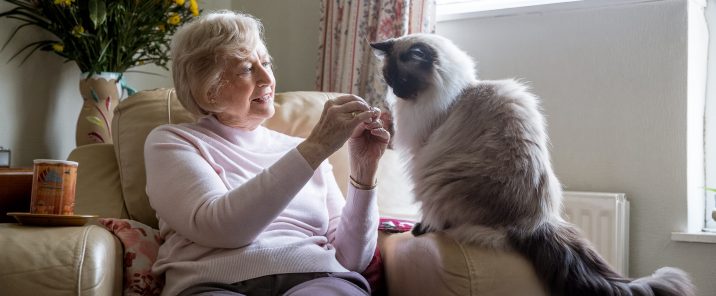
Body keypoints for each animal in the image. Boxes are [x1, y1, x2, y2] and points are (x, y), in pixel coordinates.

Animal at [372, 33, 696, 296]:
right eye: (389, 79)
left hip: (437, 181)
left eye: (402, 81)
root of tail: (537, 222)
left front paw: (418, 226)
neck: (458, 91)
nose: (396, 94)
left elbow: (425, 212)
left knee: (442, 216)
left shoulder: (421, 155)